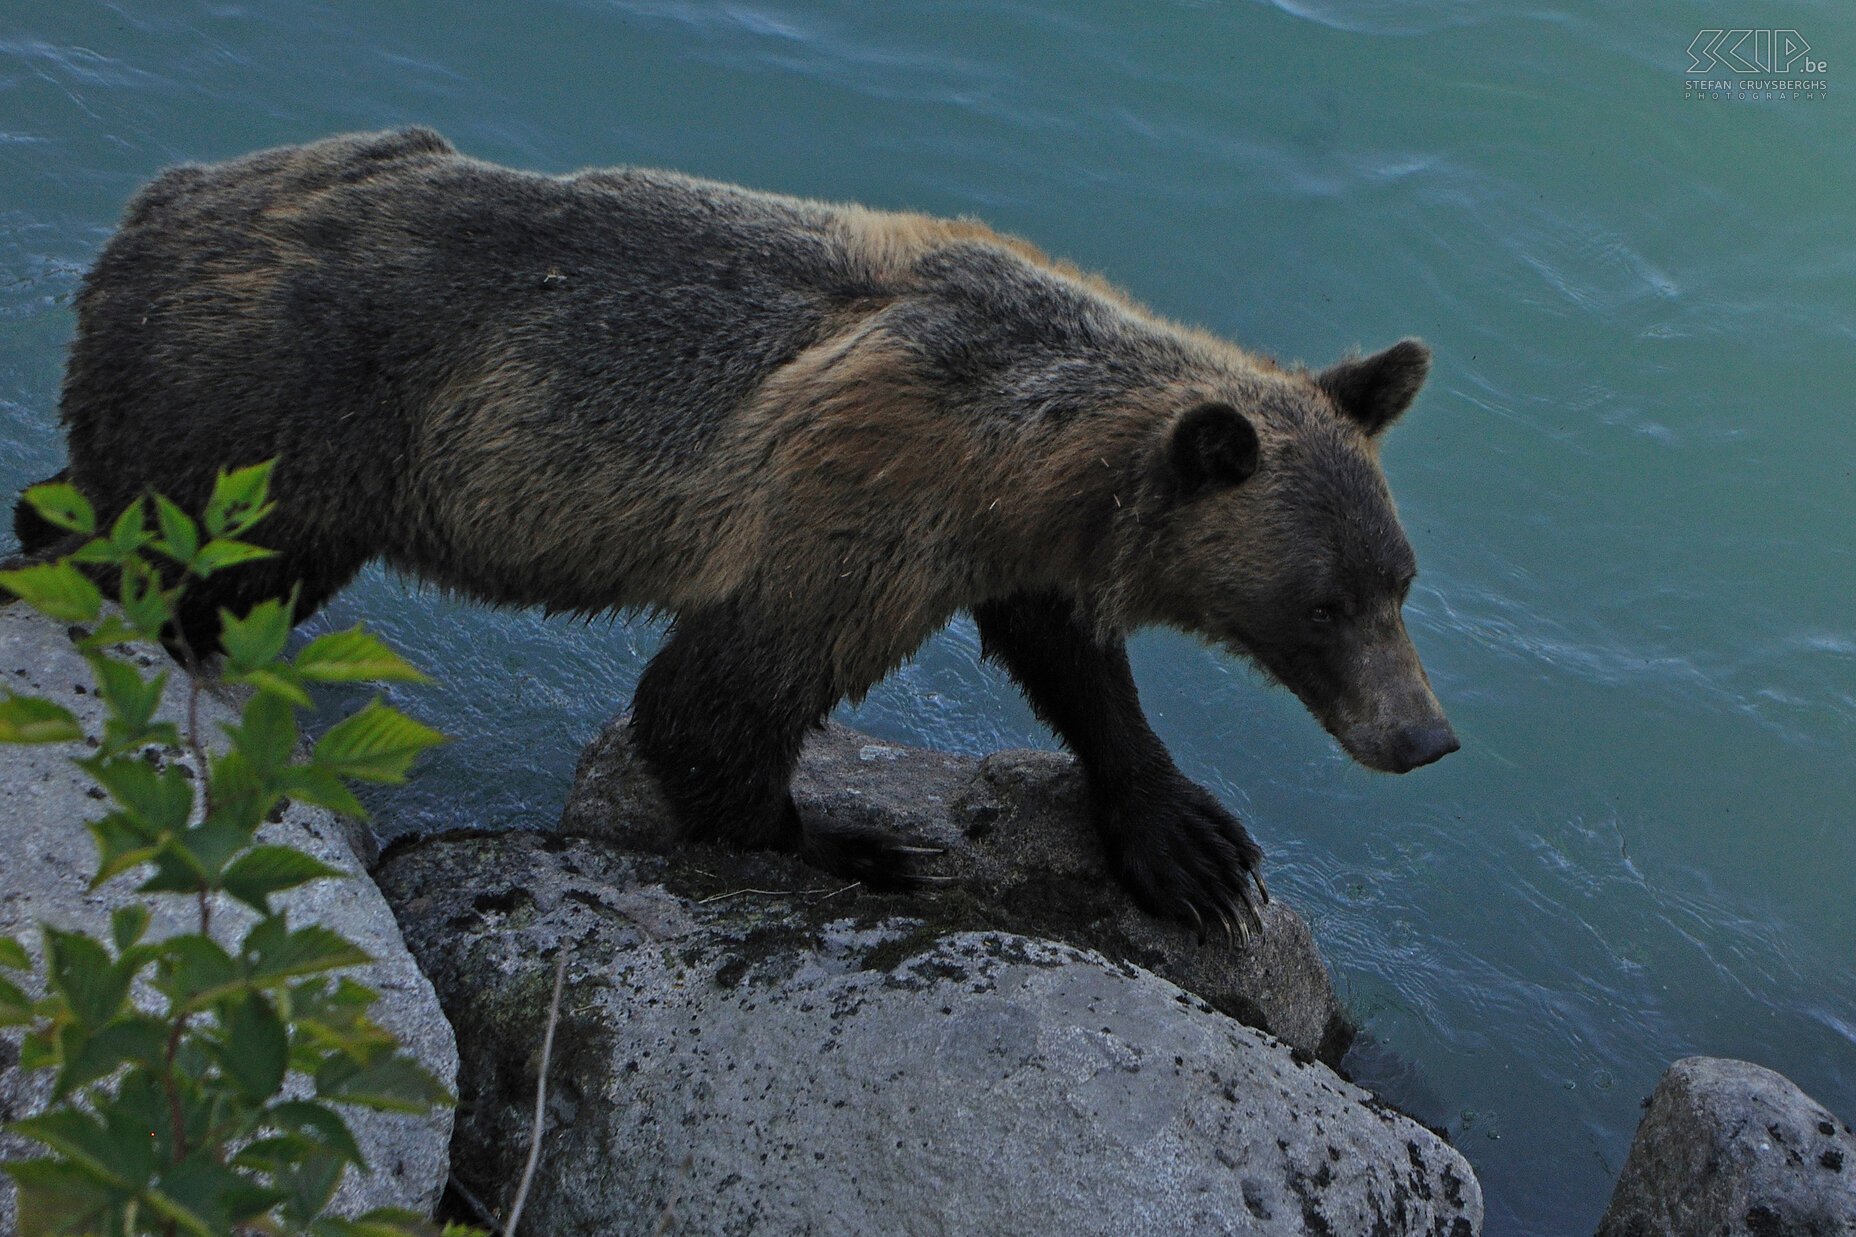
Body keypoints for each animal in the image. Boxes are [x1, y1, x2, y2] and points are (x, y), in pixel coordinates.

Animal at [21, 127, 1455, 936]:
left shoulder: (1001, 537)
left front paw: (1187, 839)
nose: (1423, 736)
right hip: (276, 423)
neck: (1025, 450)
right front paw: (860, 840)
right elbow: (718, 697)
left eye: (1399, 578)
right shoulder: (862, 502)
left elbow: (1068, 656)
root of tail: (157, 199)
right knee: (174, 555)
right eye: (1323, 602)